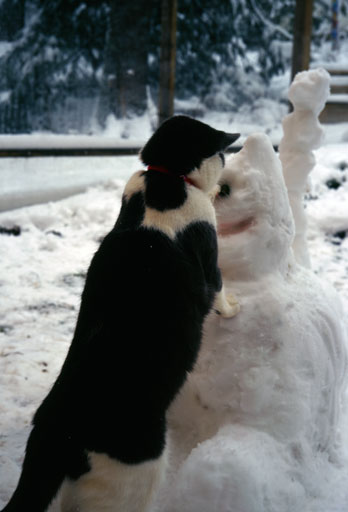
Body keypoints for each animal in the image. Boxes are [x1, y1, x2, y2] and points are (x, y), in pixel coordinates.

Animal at [2, 116, 241, 512]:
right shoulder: (210, 260)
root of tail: (54, 434)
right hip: (135, 475)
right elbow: (220, 291)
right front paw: (234, 309)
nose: (224, 184)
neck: (165, 179)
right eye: (222, 153)